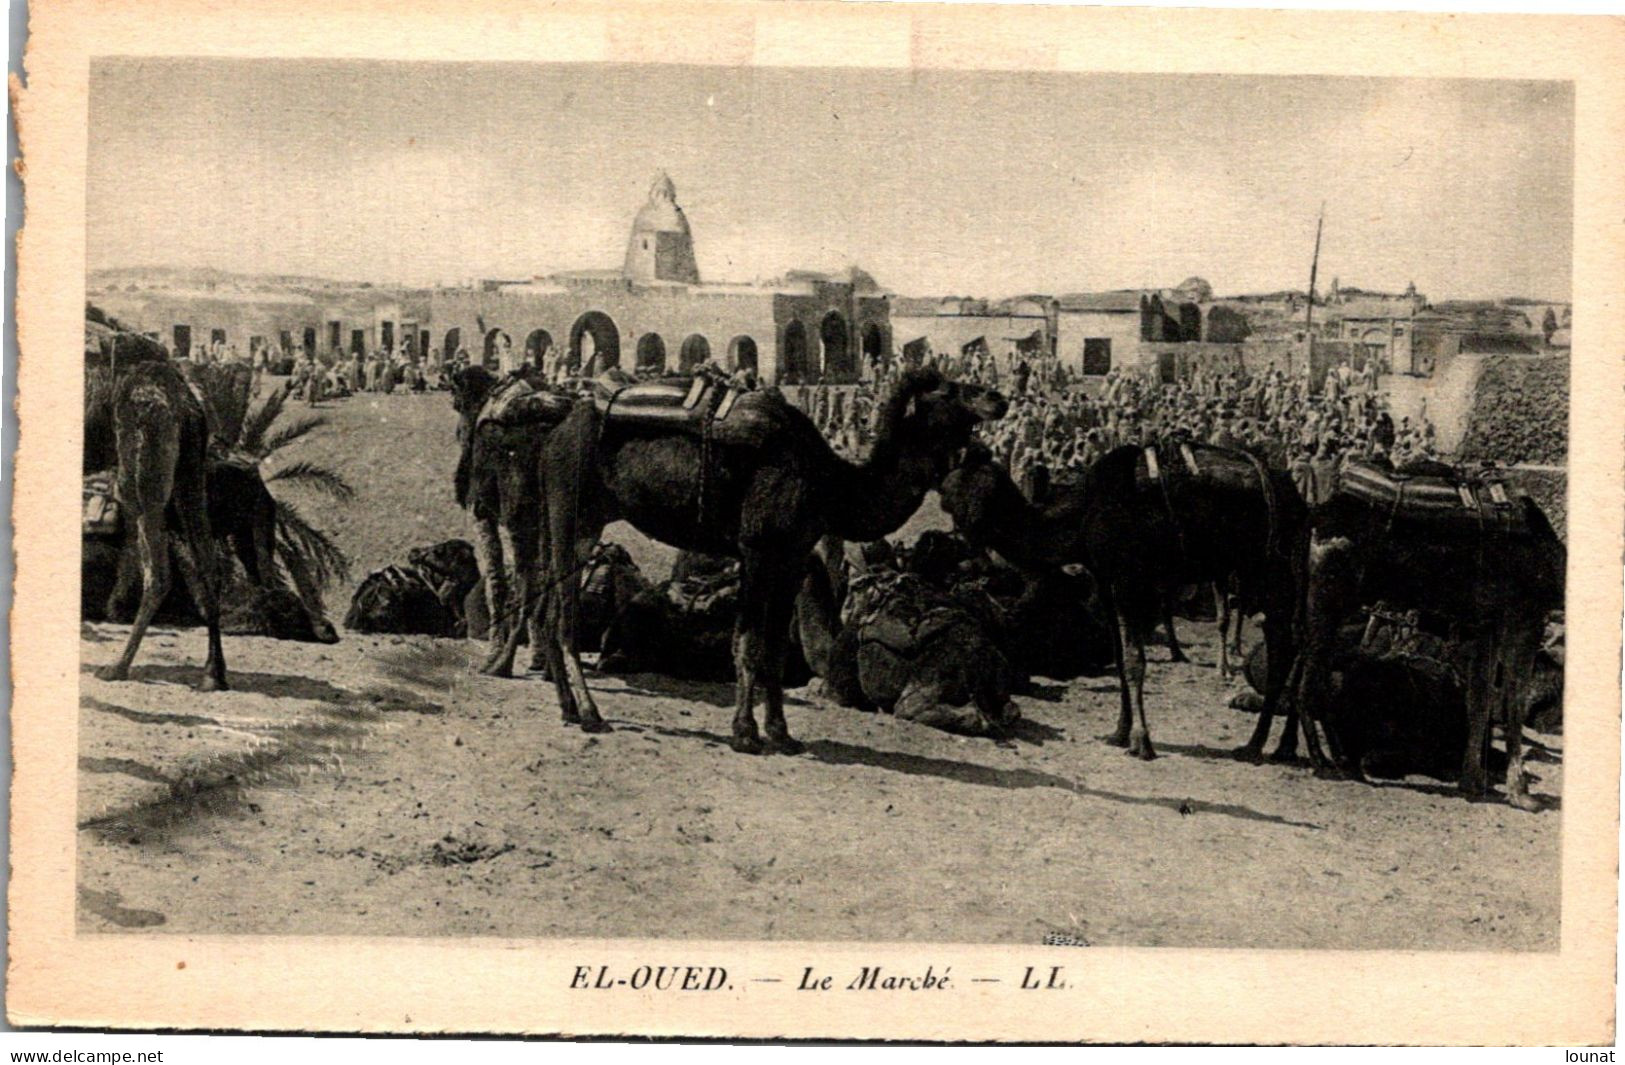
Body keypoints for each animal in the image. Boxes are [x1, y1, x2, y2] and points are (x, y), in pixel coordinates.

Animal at [91, 362, 229, 686]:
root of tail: (185, 401)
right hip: (189, 475)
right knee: (208, 563)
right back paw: (212, 673)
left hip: (143, 471)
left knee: (158, 574)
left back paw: (117, 667)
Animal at [536, 370, 1001, 754]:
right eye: (949, 390)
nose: (996, 397)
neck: (830, 482)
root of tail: (560, 431)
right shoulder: (758, 550)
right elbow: (747, 642)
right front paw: (744, 733)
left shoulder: (791, 557)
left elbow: (775, 648)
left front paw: (782, 733)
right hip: (572, 514)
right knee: (564, 617)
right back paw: (590, 713)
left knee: (548, 610)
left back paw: (567, 708)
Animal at [949, 439, 1313, 757]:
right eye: (952, 491)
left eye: (973, 489)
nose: (968, 545)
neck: (1084, 514)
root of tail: (1295, 497)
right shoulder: (1106, 581)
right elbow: (1121, 658)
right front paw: (1119, 732)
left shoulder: (1127, 580)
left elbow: (1134, 659)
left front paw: (1141, 741)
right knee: (1295, 643)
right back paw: (1283, 746)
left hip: (1269, 570)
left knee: (1283, 646)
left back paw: (1255, 745)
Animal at [1293, 461, 1560, 812]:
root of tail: (1318, 515)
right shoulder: (1523, 617)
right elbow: (1513, 703)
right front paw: (1522, 793)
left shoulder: (1482, 626)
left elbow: (1480, 700)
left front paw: (1472, 782)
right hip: (1329, 594)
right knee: (1311, 681)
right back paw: (1328, 762)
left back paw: (1337, 761)